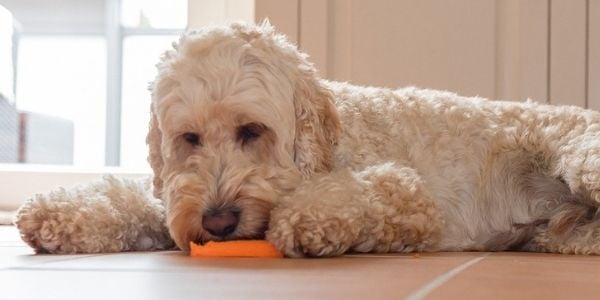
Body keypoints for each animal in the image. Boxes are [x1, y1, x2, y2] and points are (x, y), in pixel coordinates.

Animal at [12, 22, 600, 256]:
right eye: (190, 138)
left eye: (252, 130)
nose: (218, 223)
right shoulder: (178, 197)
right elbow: (133, 197)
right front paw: (60, 215)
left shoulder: (410, 197)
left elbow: (353, 195)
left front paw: (307, 219)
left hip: (581, 160)